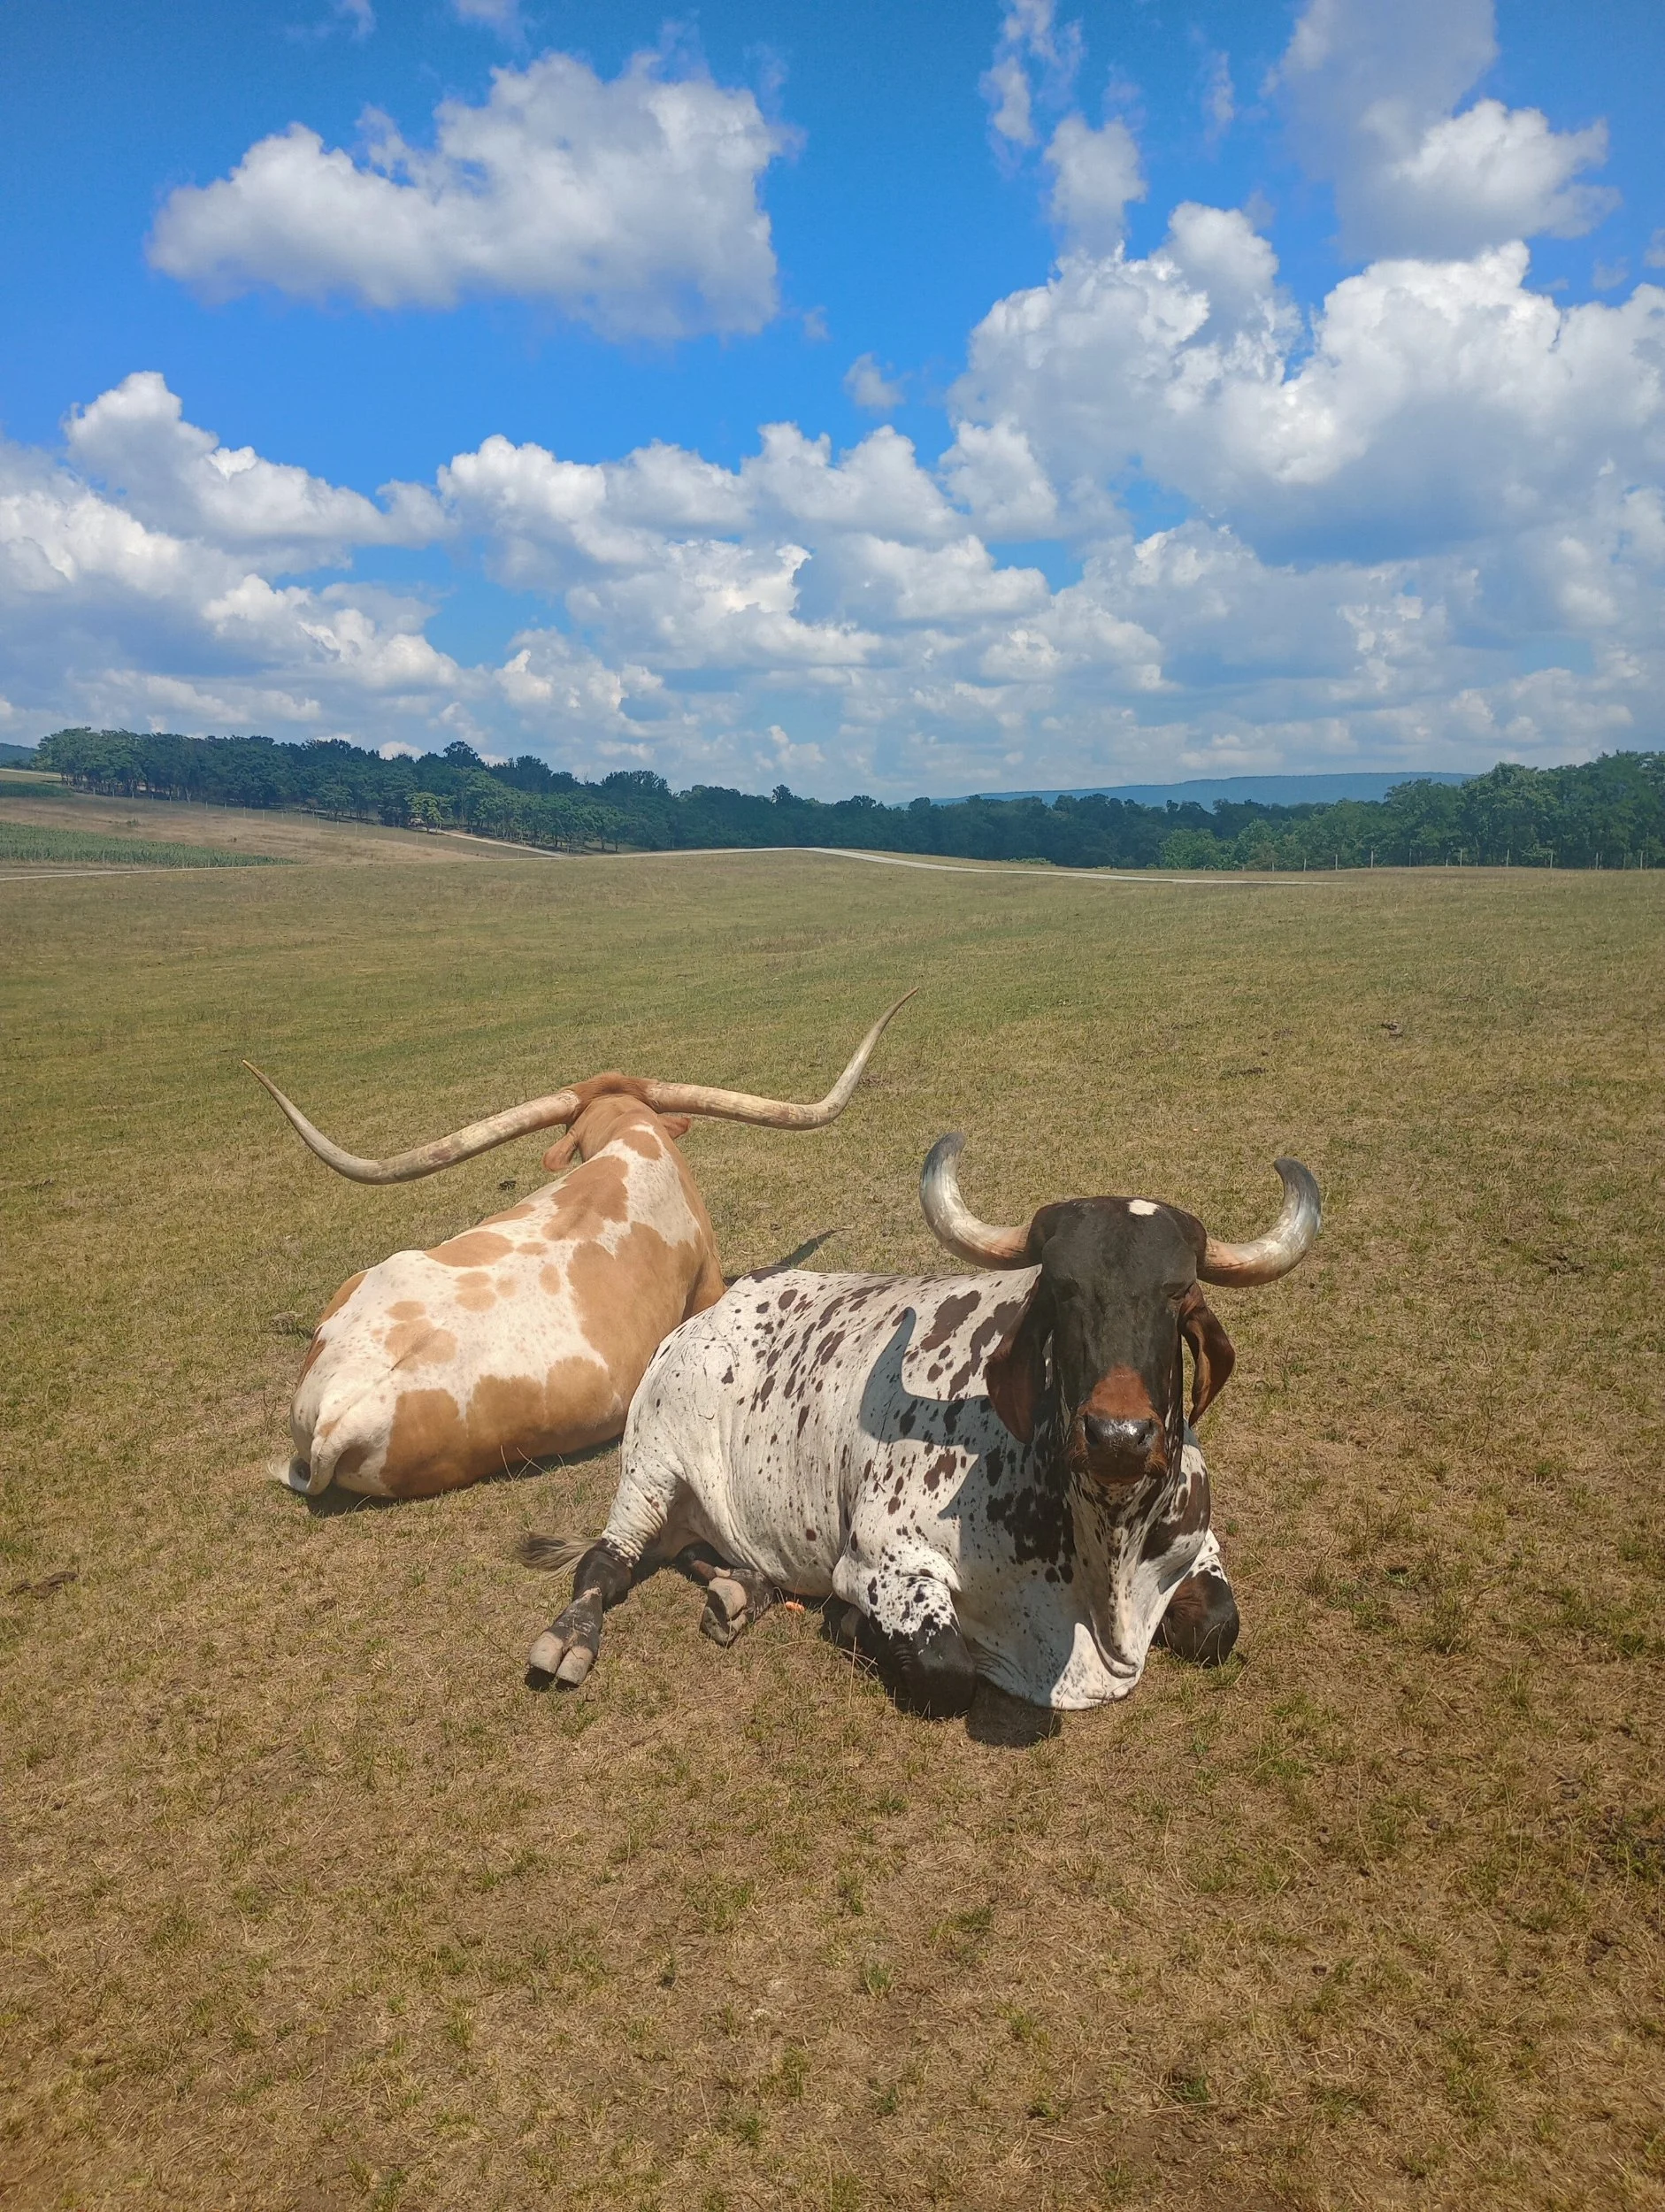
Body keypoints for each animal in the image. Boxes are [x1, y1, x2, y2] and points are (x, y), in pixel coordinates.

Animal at [523, 1134, 1320, 1714]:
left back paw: (740, 1590)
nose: (1118, 1438)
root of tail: (708, 1313)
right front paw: (854, 1625)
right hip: (650, 1470)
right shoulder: (882, 1558)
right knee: (605, 1563)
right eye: (1062, 1289)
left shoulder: (1195, 1542)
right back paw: (569, 1639)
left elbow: (1219, 1625)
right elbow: (946, 1669)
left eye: (1178, 1293)